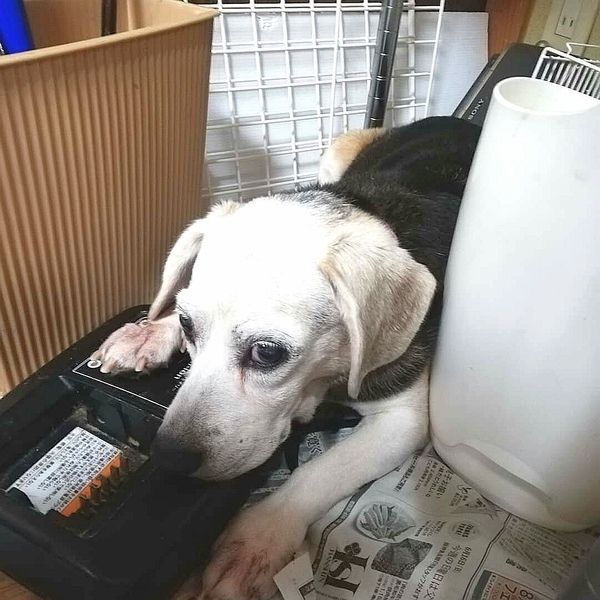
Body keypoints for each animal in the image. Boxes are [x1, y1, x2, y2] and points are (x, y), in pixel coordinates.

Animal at [92, 116, 481, 600]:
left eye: (266, 352)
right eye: (187, 324)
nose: (169, 458)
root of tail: (456, 120)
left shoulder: (404, 420)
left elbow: (321, 471)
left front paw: (256, 540)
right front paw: (151, 331)